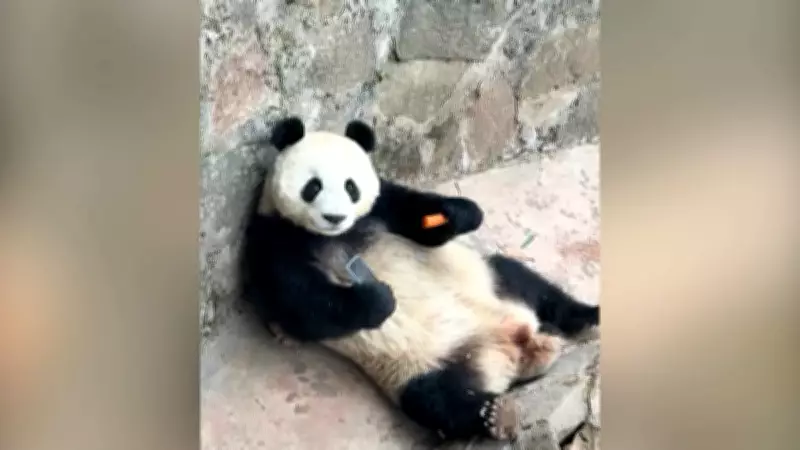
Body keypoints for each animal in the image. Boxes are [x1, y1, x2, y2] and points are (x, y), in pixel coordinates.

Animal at [241, 116, 599, 442]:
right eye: (312, 186)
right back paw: (495, 415)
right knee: (438, 400)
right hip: (419, 365)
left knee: (529, 283)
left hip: (489, 280)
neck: (335, 235)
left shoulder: (382, 207)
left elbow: (418, 217)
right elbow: (302, 305)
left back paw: (587, 317)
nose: (334, 217)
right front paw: (378, 298)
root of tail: (514, 347)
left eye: (350, 186)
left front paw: (459, 214)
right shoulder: (273, 239)